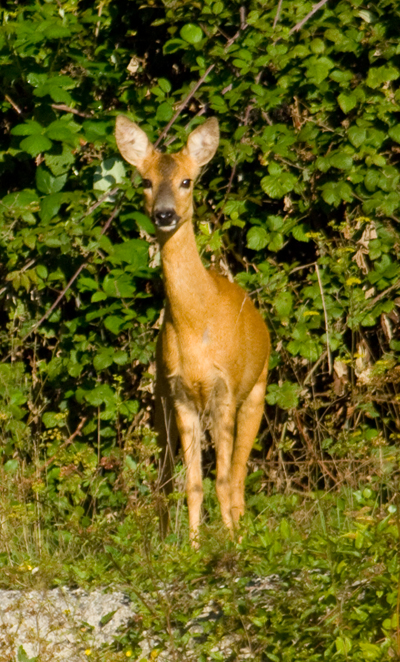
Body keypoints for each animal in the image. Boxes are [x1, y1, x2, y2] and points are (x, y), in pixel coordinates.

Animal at [115, 116, 270, 548]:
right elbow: (194, 484)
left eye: (187, 180)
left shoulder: (225, 391)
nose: (165, 214)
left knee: (239, 476)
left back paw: (241, 530)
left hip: (257, 390)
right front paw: (192, 547)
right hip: (159, 403)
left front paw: (231, 543)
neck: (195, 323)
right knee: (168, 478)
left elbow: (223, 480)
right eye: (146, 181)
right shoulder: (181, 394)